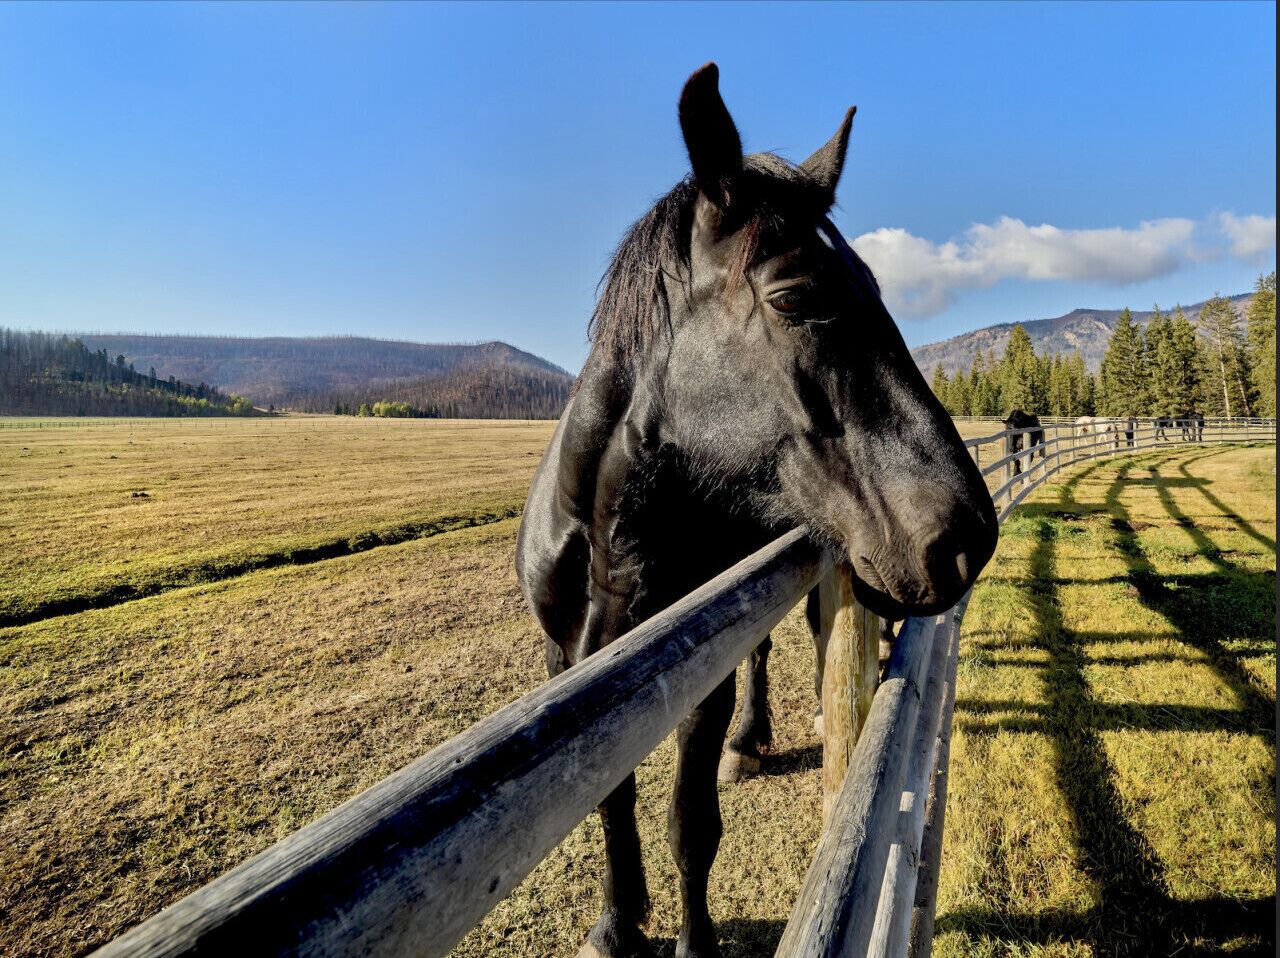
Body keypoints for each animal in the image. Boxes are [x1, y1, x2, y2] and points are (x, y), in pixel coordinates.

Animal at [516, 64, 998, 958]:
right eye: (795, 298)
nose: (968, 538)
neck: (611, 550)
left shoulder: (697, 681)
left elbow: (690, 824)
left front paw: (694, 941)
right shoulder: (569, 670)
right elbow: (611, 800)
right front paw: (616, 922)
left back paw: (753, 737)